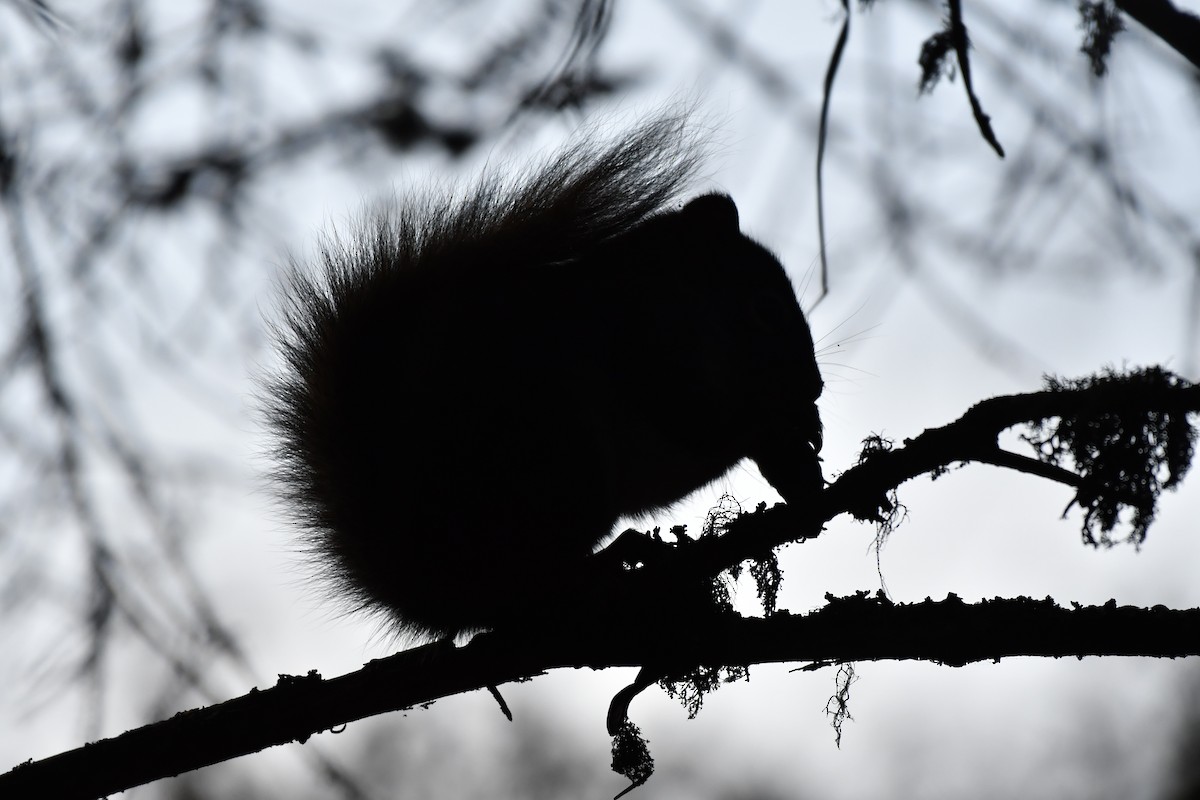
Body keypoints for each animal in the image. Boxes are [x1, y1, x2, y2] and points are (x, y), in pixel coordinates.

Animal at [265, 112, 824, 640]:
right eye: (767, 310)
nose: (815, 387)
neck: (662, 301)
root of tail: (429, 578)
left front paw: (798, 460)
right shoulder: (643, 360)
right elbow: (704, 429)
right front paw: (784, 426)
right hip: (556, 460)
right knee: (525, 590)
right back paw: (606, 568)